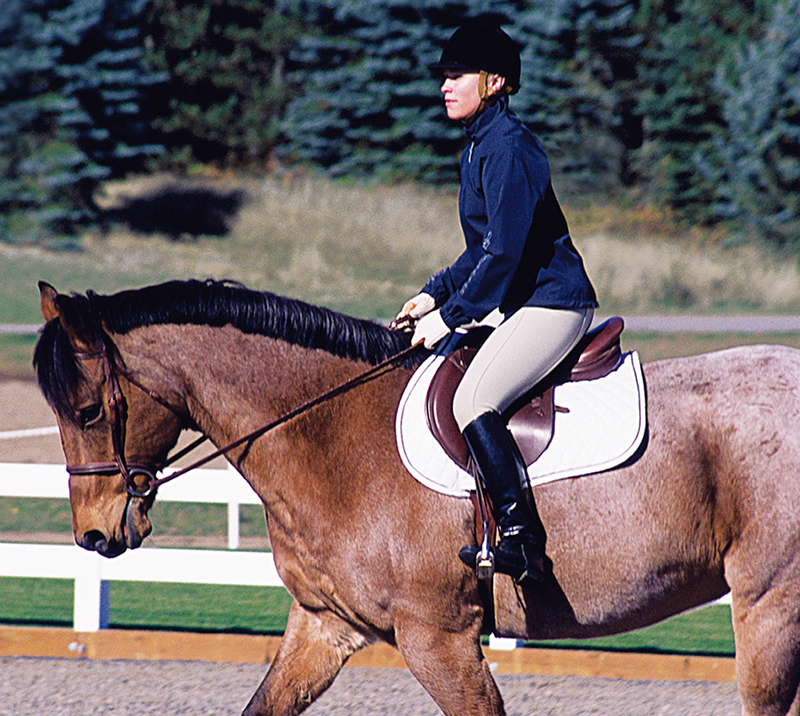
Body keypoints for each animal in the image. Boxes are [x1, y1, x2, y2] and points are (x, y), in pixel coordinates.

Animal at [34, 280, 800, 716]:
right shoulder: (324, 625)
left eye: (89, 410)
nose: (95, 537)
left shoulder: (438, 637)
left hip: (769, 604)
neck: (332, 429)